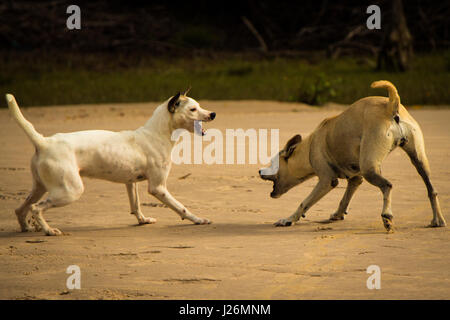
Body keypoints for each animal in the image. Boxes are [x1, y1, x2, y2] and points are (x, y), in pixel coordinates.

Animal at [5, 90, 216, 235]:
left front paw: (142, 220)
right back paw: (49, 231)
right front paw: (198, 219)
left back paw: (27, 228)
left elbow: (135, 205)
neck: (155, 134)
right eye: (193, 109)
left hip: (40, 188)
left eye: (199, 106)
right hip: (70, 191)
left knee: (21, 208)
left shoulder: (131, 183)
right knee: (36, 208)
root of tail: (44, 141)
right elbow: (181, 207)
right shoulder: (158, 188)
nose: (213, 114)